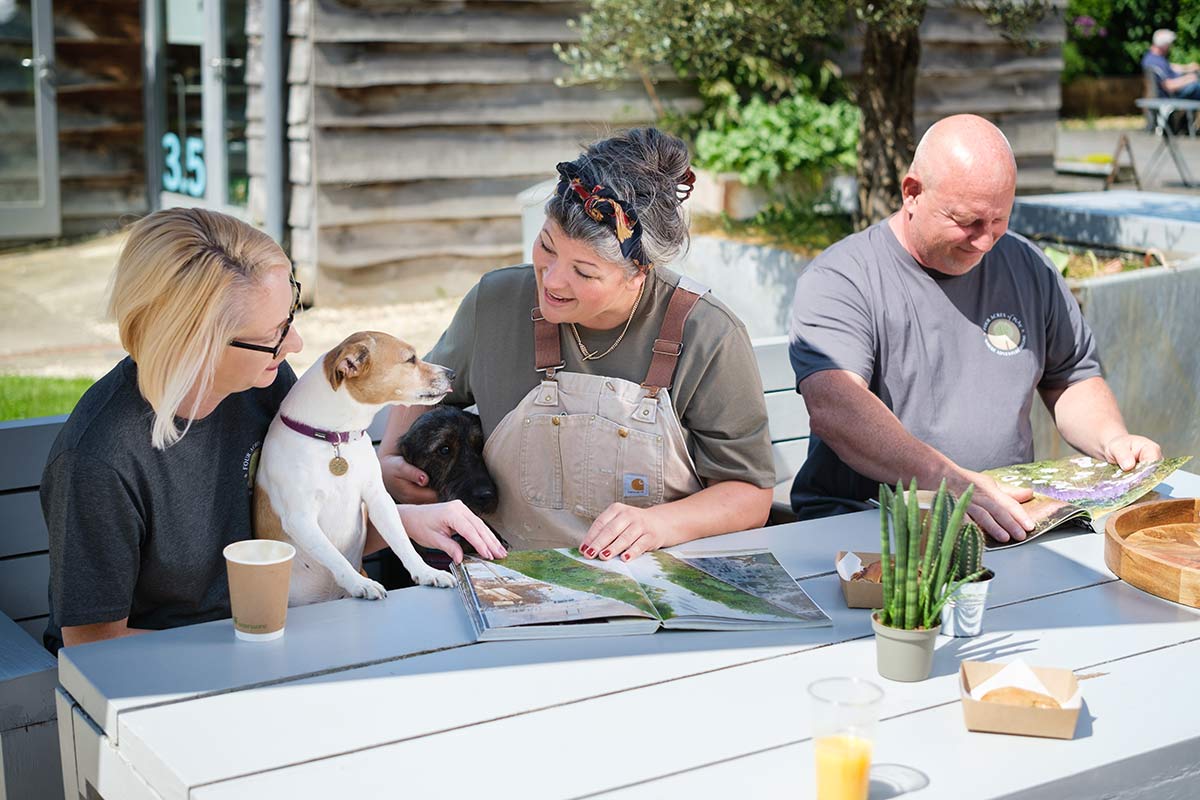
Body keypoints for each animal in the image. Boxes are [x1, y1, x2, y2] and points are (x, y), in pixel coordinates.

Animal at [254, 328, 458, 604]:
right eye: (410, 359)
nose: (452, 373)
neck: (335, 440)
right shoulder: (300, 519)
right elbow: (334, 556)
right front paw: (359, 583)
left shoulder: (378, 498)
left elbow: (401, 540)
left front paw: (426, 572)